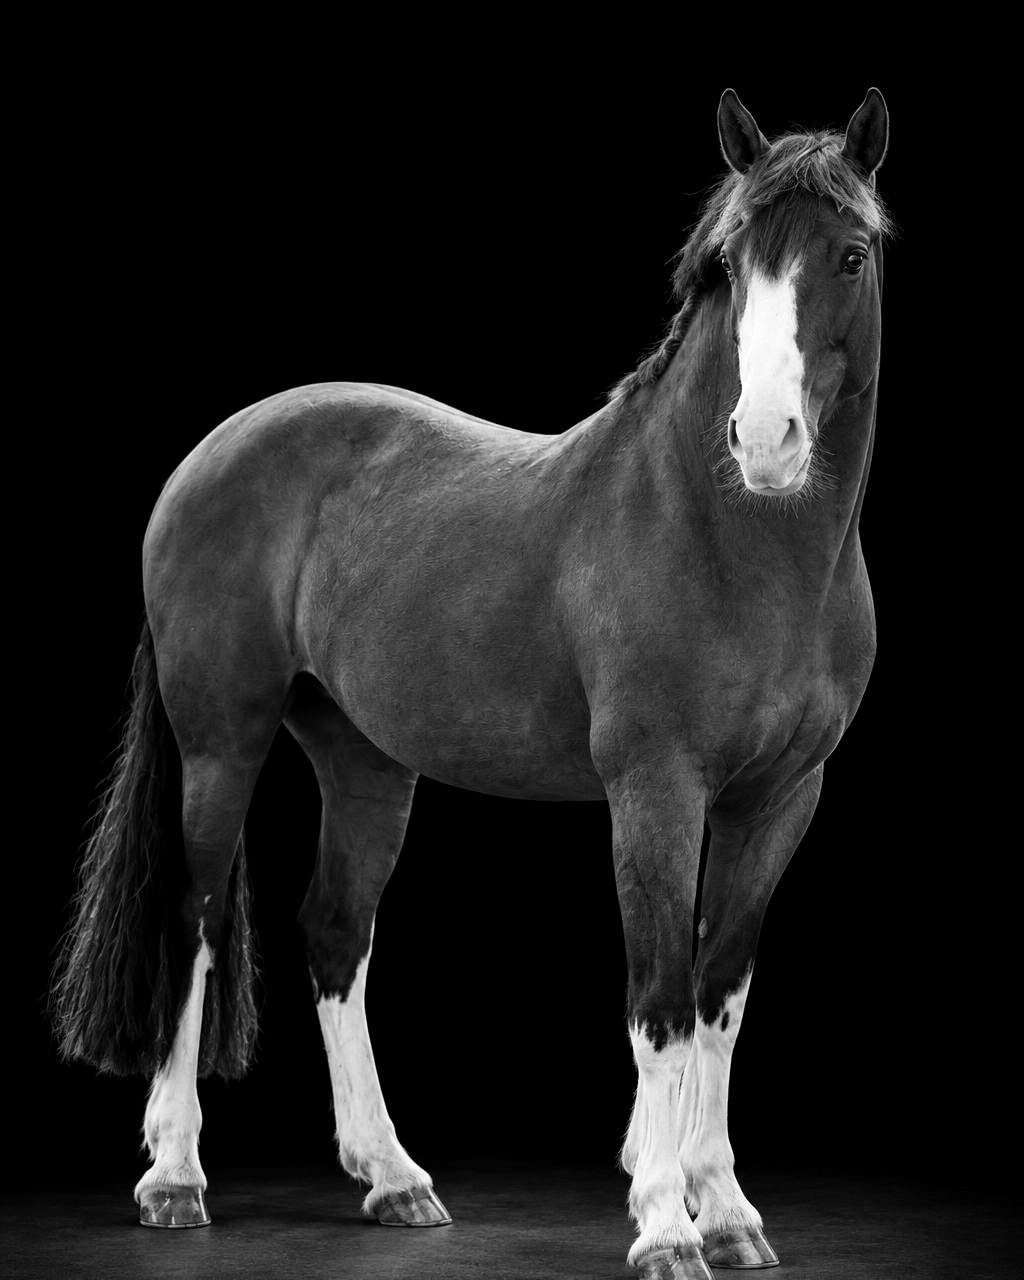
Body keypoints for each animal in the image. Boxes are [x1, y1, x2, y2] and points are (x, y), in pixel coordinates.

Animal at [52, 87, 889, 1280]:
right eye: (731, 263)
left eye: (850, 254)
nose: (765, 441)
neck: (734, 541)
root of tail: (208, 455)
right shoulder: (656, 791)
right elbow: (661, 1000)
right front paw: (662, 1221)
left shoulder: (780, 799)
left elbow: (721, 992)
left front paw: (727, 1210)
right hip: (223, 742)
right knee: (198, 920)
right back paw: (175, 1175)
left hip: (362, 759)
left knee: (335, 930)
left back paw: (394, 1176)